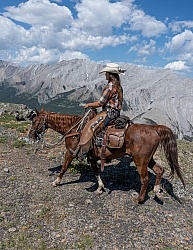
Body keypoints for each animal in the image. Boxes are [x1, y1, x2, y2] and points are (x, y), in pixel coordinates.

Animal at [27, 108, 185, 204]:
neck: (74, 129)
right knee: (159, 170)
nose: (30, 136)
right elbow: (96, 172)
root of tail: (154, 129)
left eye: (34, 121)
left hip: (140, 161)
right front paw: (100, 188)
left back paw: (139, 199)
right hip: (148, 159)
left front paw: (56, 182)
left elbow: (64, 167)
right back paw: (157, 190)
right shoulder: (91, 157)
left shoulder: (70, 152)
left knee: (145, 179)